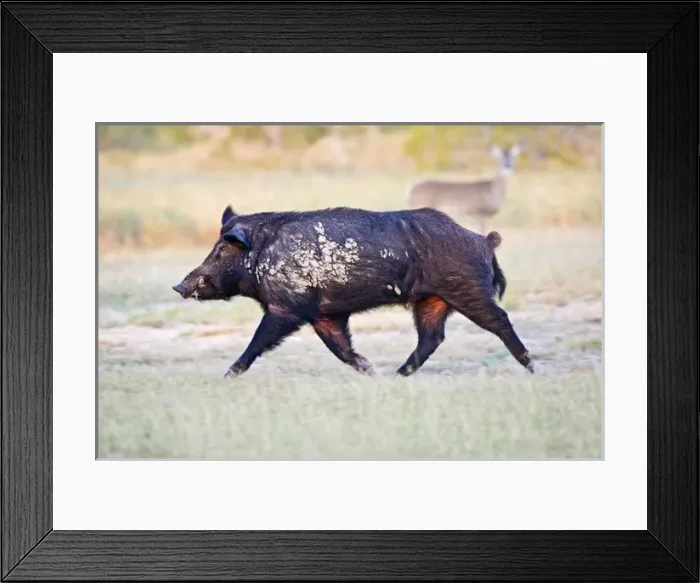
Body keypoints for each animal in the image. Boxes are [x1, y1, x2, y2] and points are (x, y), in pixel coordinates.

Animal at [172, 204, 535, 379]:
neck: (262, 255)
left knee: (500, 320)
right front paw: (370, 371)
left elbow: (257, 342)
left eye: (222, 250)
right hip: (431, 301)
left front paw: (226, 376)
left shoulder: (287, 309)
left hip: (469, 290)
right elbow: (342, 349)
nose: (180, 285)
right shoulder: (325, 315)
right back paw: (395, 376)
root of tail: (484, 241)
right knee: (431, 338)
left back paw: (532, 367)